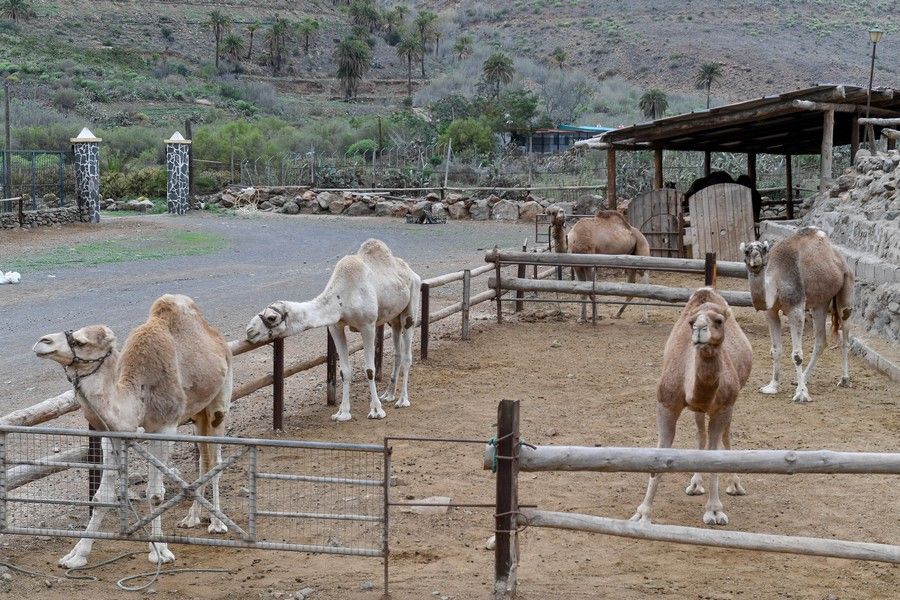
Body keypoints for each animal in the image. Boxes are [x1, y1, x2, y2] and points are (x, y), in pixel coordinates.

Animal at [33, 294, 234, 568]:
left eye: (80, 342)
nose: (42, 342)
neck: (136, 395)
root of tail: (217, 338)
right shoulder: (113, 433)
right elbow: (101, 497)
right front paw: (76, 555)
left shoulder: (164, 427)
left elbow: (155, 494)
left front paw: (159, 551)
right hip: (196, 414)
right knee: (204, 457)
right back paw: (191, 519)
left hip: (219, 402)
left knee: (216, 459)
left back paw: (218, 523)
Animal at [246, 238, 422, 422]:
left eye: (272, 317)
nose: (250, 331)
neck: (342, 297)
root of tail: (411, 272)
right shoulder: (336, 326)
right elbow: (344, 370)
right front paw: (342, 413)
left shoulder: (368, 325)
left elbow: (370, 370)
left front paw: (376, 410)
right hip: (394, 318)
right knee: (397, 352)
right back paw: (388, 395)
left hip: (411, 307)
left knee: (407, 354)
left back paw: (403, 400)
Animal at [632, 286, 752, 524]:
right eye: (691, 322)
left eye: (718, 321)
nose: (699, 330)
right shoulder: (666, 405)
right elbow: (660, 457)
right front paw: (642, 513)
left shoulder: (723, 408)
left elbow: (715, 456)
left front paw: (714, 510)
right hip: (700, 410)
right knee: (701, 435)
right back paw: (695, 484)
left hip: (730, 403)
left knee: (725, 436)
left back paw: (735, 485)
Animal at [740, 226, 856, 404]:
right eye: (747, 251)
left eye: (764, 249)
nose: (756, 258)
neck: (777, 281)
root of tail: (840, 260)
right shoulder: (770, 311)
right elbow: (776, 350)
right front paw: (772, 386)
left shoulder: (795, 308)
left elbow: (797, 355)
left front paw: (801, 394)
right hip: (820, 303)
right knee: (821, 340)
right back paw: (802, 379)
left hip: (846, 288)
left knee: (844, 337)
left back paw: (844, 380)